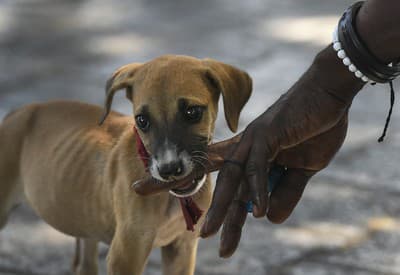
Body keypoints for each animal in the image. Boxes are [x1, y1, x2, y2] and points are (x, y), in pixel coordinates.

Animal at [0, 56, 250, 275]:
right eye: (142, 120)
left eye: (192, 112)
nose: (168, 170)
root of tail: (12, 114)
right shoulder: (126, 254)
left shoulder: (182, 248)